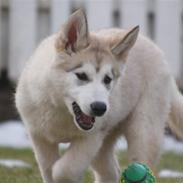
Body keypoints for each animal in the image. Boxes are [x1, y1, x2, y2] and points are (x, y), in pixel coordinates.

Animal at [15, 9, 183, 183]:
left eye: (107, 79)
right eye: (81, 76)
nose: (100, 108)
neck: (61, 110)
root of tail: (155, 48)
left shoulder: (92, 138)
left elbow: (64, 170)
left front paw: (61, 172)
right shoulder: (39, 137)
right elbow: (48, 168)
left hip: (143, 132)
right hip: (104, 144)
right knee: (111, 172)